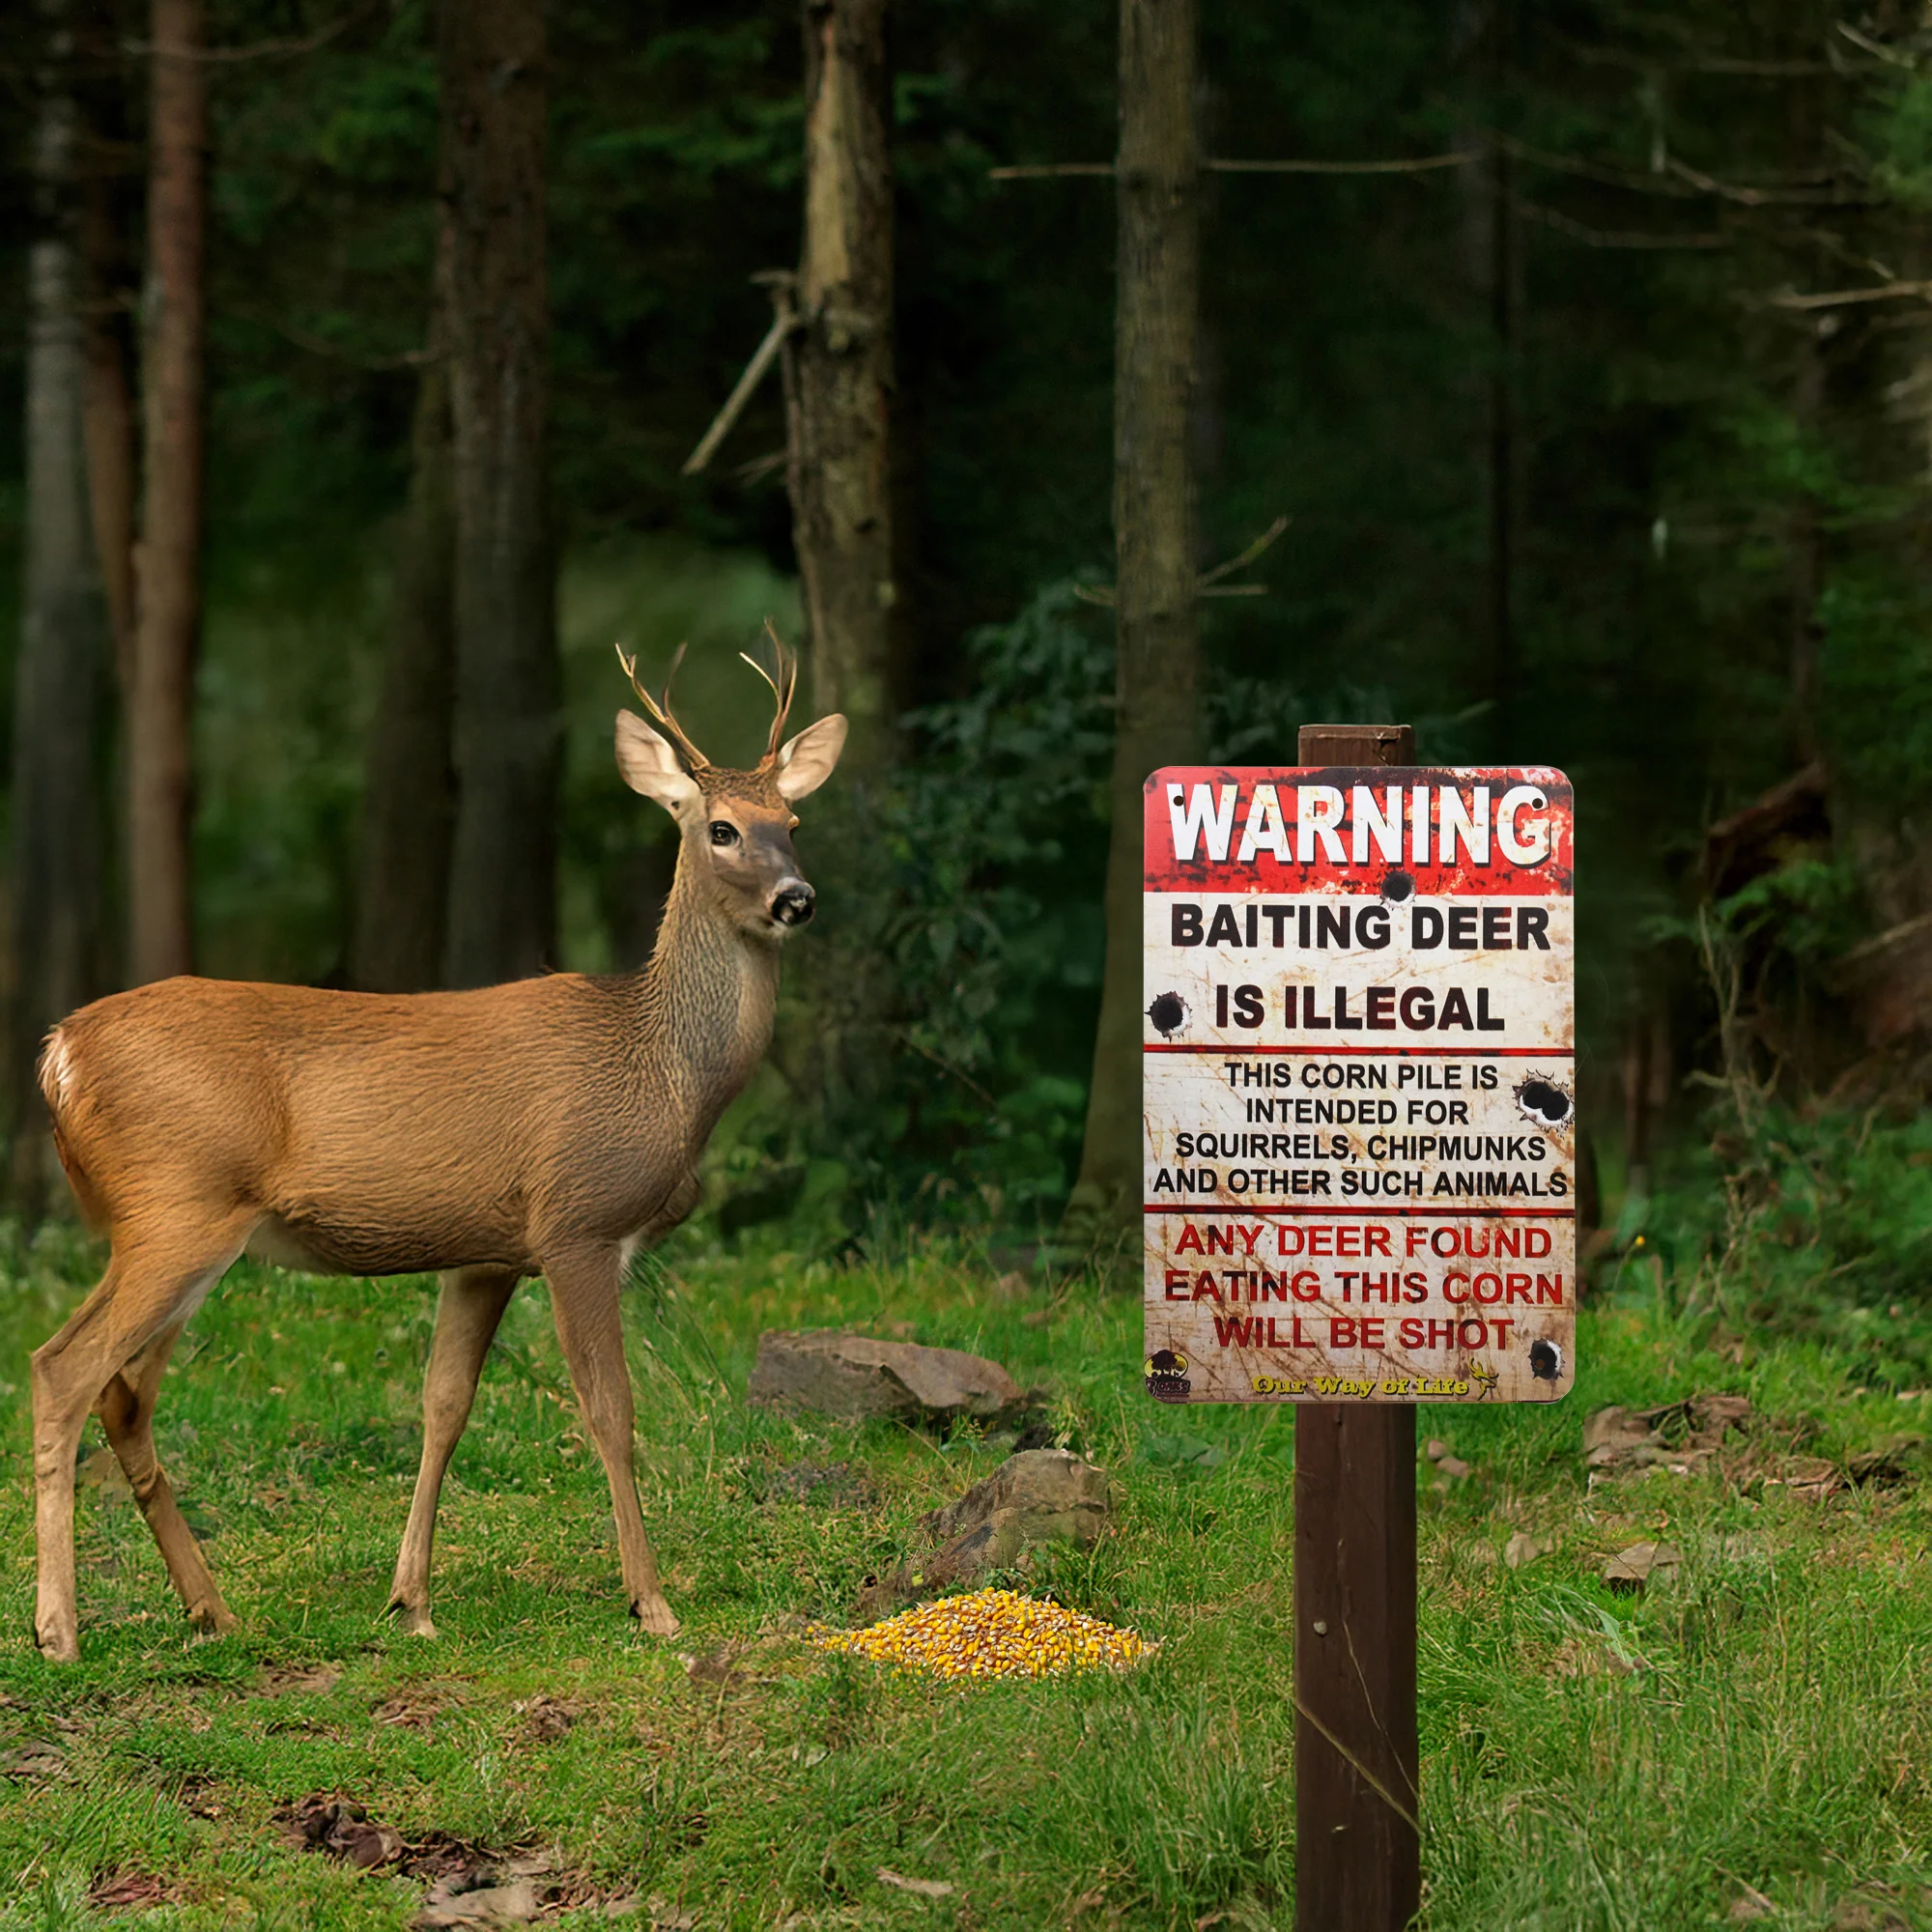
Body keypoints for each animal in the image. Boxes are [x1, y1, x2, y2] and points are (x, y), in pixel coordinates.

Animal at [28, 637, 845, 1662]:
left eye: (795, 820)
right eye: (723, 829)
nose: (797, 898)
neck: (660, 1069)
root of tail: (57, 1053)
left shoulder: (486, 1253)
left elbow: (444, 1405)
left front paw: (411, 1601)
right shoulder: (576, 1222)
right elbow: (610, 1410)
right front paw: (652, 1604)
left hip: (169, 1227)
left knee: (124, 1399)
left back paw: (213, 1611)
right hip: (177, 1209)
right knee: (61, 1370)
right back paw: (60, 1631)